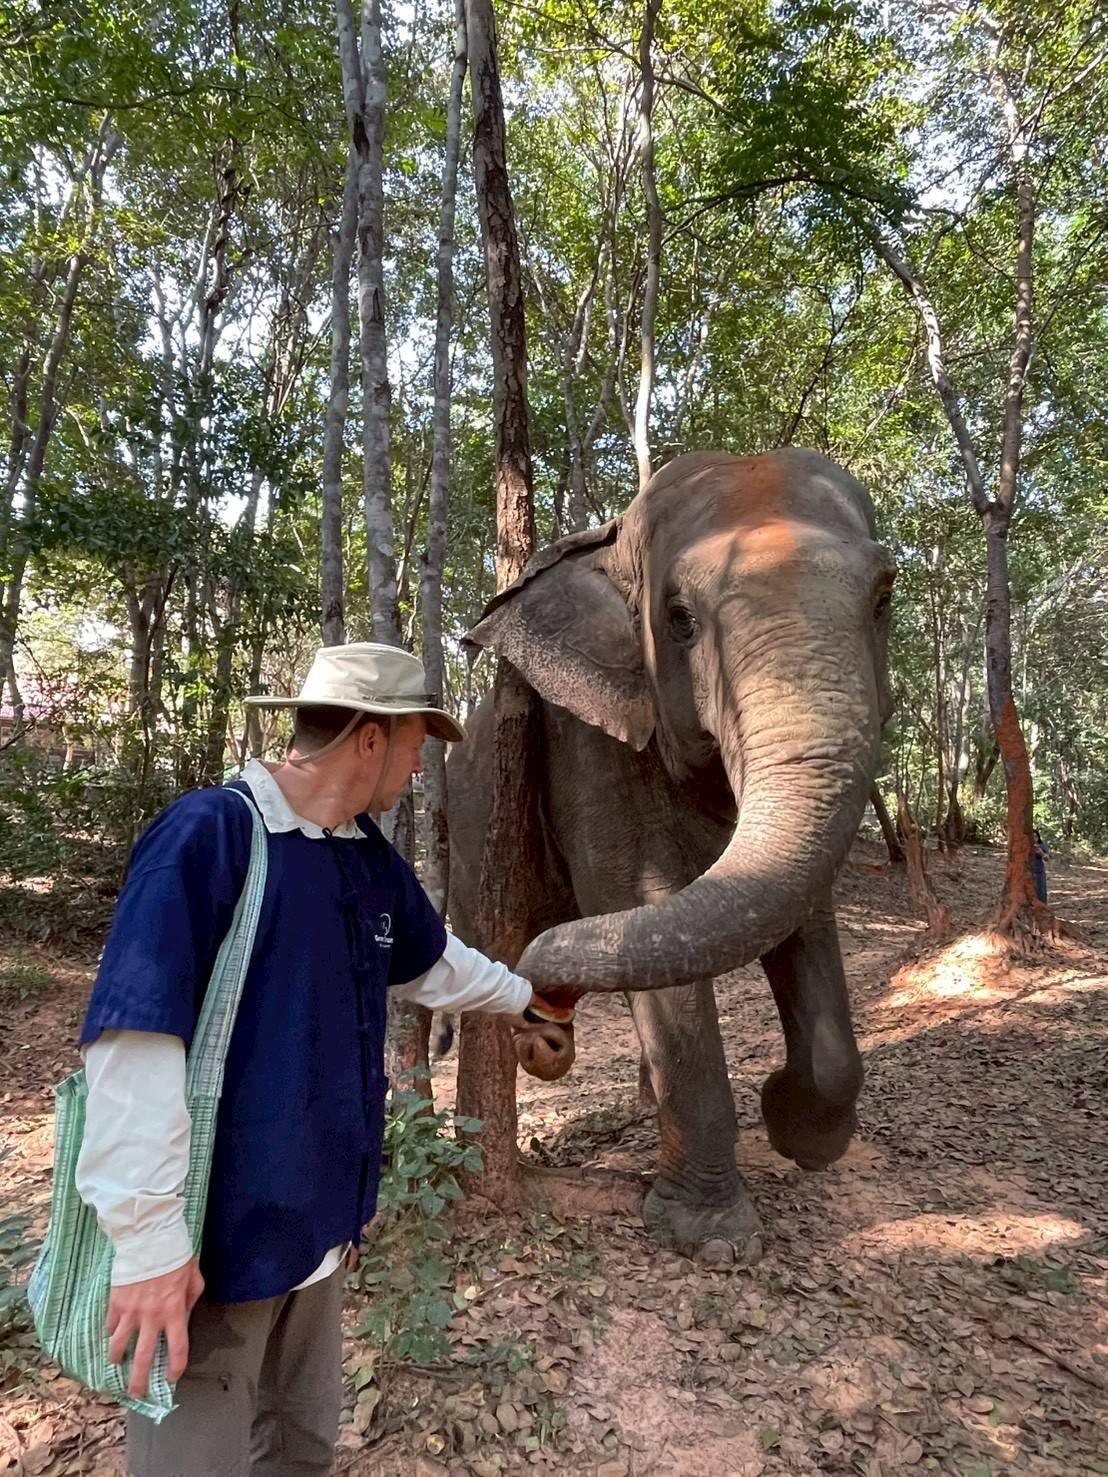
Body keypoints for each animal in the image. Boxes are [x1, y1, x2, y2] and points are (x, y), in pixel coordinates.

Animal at [446, 448, 895, 1260]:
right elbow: (635, 902)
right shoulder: (585, 742)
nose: (544, 1006)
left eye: (884, 597)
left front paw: (798, 1133)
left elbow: (803, 917)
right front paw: (712, 1238)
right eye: (679, 620)